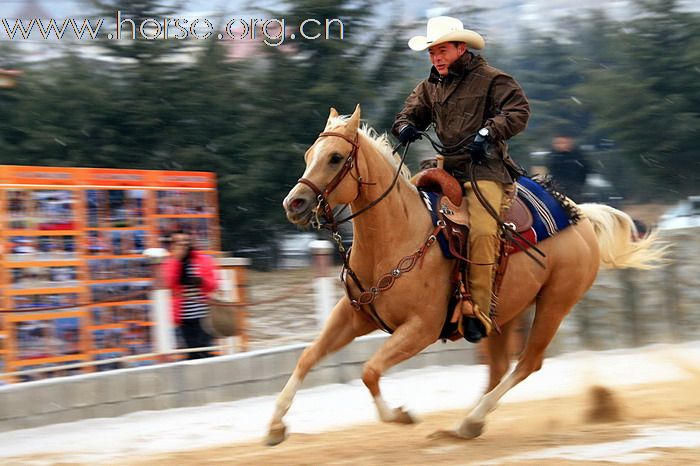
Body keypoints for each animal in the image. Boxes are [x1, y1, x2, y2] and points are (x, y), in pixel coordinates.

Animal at [270, 104, 664, 444]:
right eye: (309, 155)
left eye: (336, 157)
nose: (294, 203)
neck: (399, 237)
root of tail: (580, 216)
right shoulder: (354, 315)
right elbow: (309, 356)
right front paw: (275, 426)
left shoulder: (421, 328)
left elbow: (369, 371)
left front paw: (401, 415)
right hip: (503, 311)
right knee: (500, 366)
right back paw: (467, 425)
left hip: (555, 302)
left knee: (528, 363)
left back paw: (471, 420)